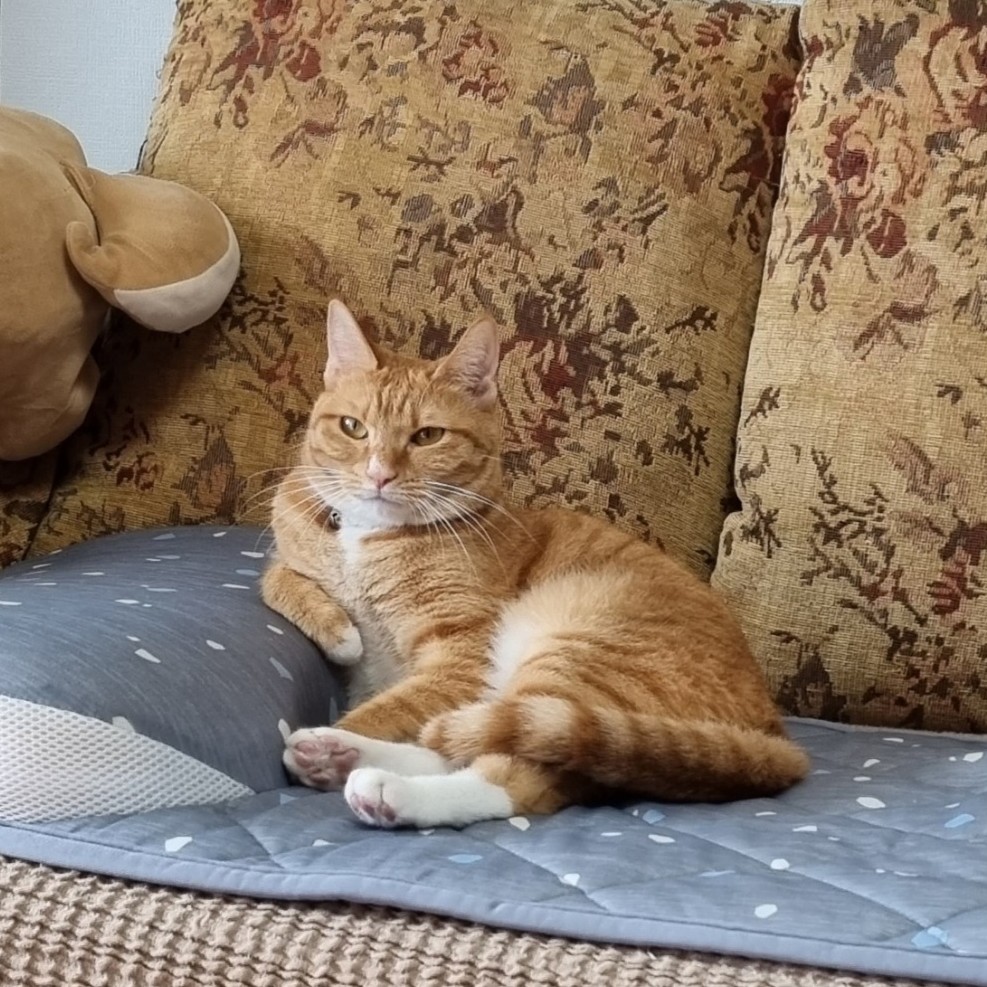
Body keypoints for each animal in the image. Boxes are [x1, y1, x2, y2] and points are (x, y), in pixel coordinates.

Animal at [261, 299, 810, 829]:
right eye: (353, 428)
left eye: (428, 436)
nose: (379, 475)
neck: (366, 536)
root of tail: (773, 729)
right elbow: (277, 580)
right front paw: (340, 632)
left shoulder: (460, 661)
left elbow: (388, 709)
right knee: (465, 744)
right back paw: (338, 756)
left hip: (575, 653)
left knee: (510, 773)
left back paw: (374, 782)